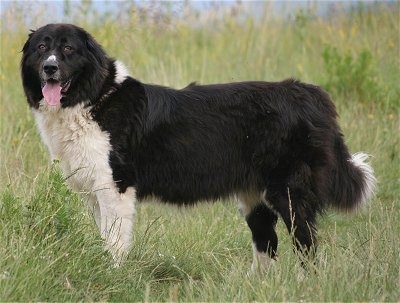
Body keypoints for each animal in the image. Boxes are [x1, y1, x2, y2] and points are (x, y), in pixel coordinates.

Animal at [20, 23, 376, 270]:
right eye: (42, 47)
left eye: (68, 49)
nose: (50, 67)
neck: (92, 100)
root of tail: (310, 93)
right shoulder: (93, 192)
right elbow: (105, 237)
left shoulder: (115, 188)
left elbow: (115, 242)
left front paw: (112, 274)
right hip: (253, 195)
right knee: (267, 246)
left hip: (288, 193)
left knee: (306, 245)